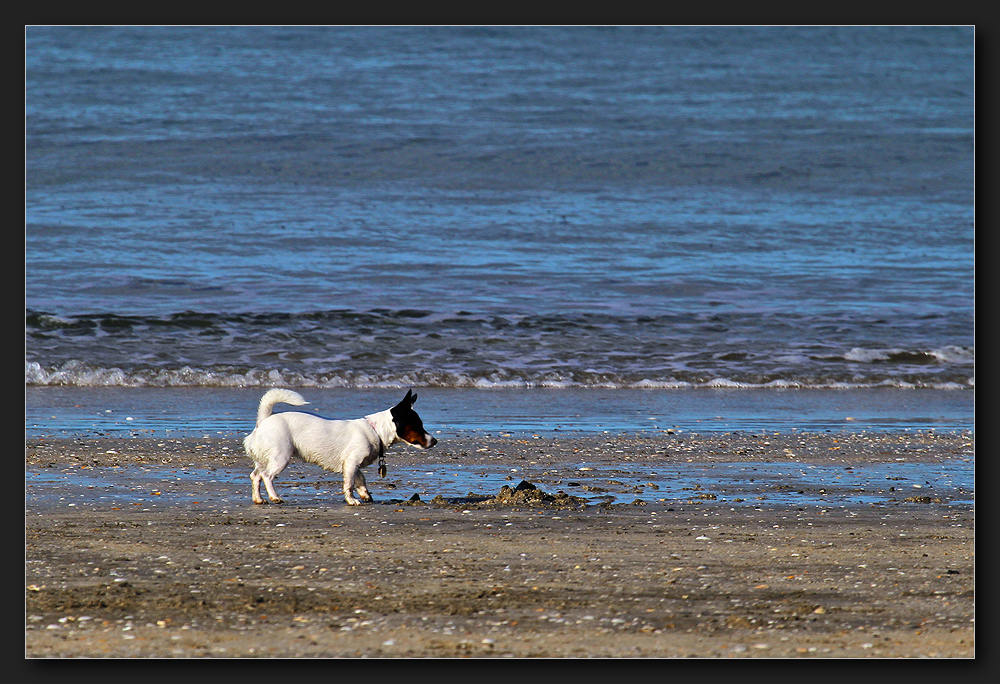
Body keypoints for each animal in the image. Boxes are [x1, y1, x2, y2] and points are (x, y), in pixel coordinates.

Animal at [244, 388, 436, 504]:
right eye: (418, 425)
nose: (435, 441)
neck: (376, 430)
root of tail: (264, 420)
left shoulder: (351, 464)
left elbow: (360, 479)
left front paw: (365, 494)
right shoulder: (351, 462)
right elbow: (349, 484)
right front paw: (352, 500)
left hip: (264, 459)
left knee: (256, 476)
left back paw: (258, 499)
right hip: (281, 458)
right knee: (267, 476)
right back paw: (274, 497)